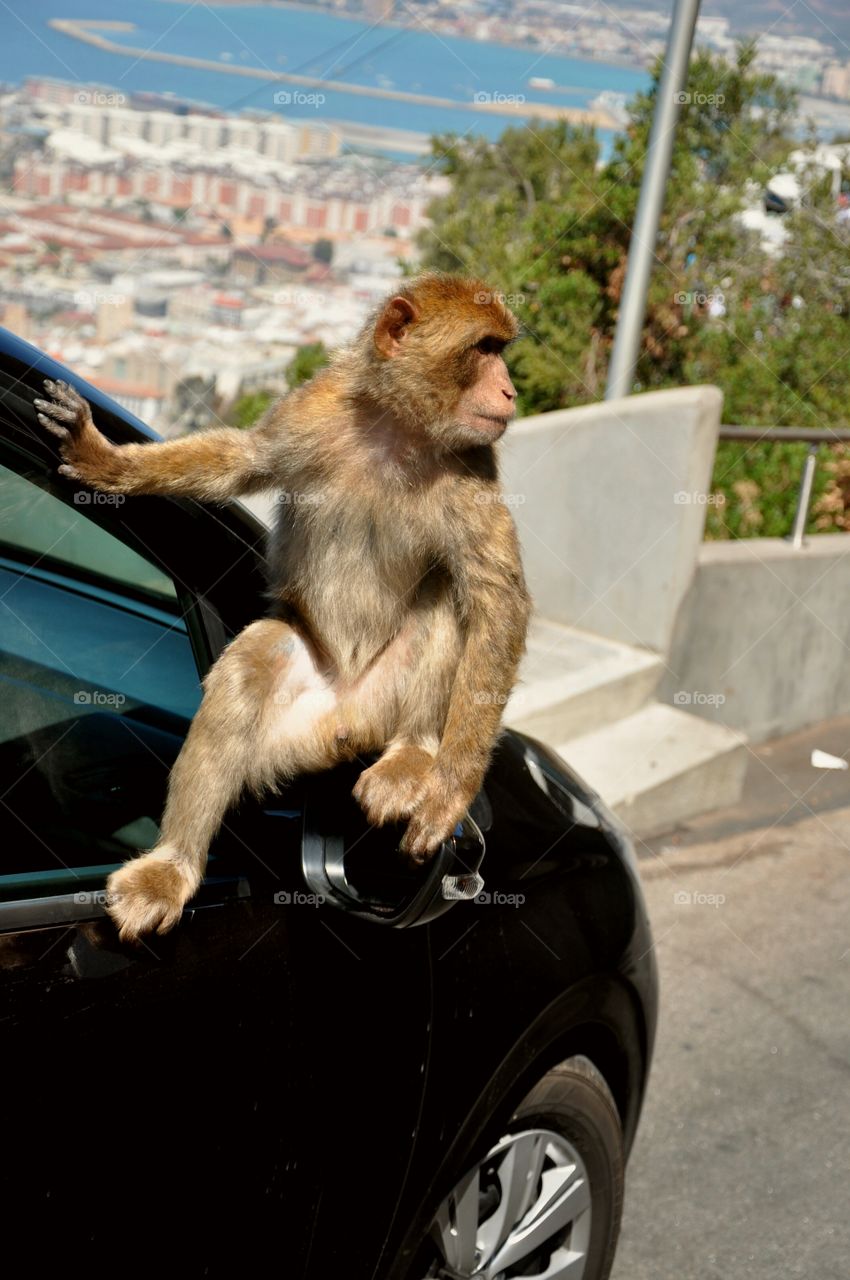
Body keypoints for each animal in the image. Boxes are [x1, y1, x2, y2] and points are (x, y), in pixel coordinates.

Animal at [33, 270, 532, 942]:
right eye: (484, 349)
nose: (509, 391)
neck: (398, 430)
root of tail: (347, 722)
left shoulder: (474, 467)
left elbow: (496, 600)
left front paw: (448, 794)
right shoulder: (312, 410)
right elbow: (241, 461)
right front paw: (101, 459)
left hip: (384, 702)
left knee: (445, 597)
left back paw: (413, 754)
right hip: (296, 730)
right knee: (249, 668)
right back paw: (172, 867)